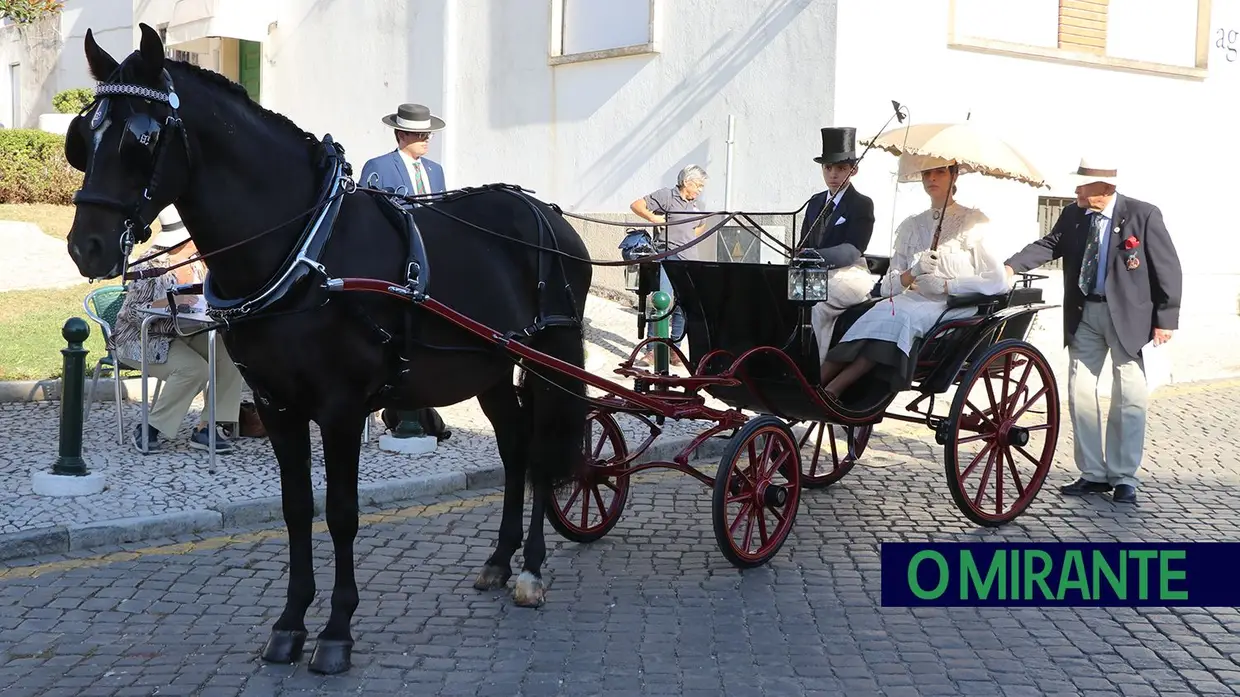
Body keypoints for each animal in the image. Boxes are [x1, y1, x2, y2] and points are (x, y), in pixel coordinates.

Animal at [61, 24, 590, 669]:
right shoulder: (276, 404)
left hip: (547, 362)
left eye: (142, 135)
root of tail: (549, 213)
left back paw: (532, 569)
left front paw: (337, 629)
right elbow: (296, 509)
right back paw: (498, 560)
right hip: (489, 368)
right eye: (83, 137)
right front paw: (290, 622)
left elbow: (340, 512)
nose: (86, 245)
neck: (303, 249)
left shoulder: (340, 409)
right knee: (514, 448)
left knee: (538, 452)